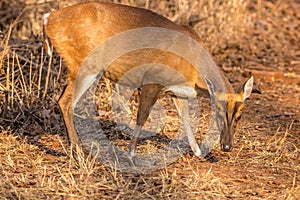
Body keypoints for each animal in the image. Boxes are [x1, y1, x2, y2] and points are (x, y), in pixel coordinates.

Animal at [42, 1, 253, 164]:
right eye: (218, 111)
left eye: (240, 116)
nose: (227, 146)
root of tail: (49, 18)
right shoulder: (153, 79)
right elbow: (142, 117)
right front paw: (131, 154)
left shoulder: (180, 92)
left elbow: (187, 120)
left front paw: (200, 152)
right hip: (83, 64)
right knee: (65, 101)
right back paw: (79, 153)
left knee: (65, 100)